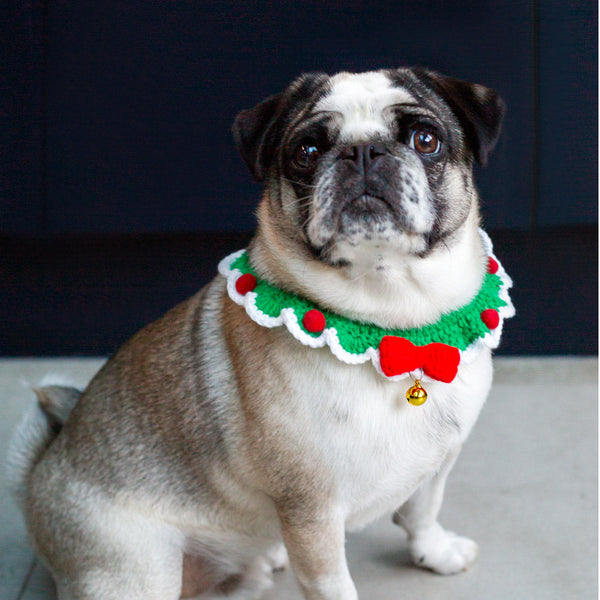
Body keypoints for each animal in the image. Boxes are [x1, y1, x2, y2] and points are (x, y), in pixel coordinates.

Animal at [9, 67, 510, 600]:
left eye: (425, 139)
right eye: (306, 152)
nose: (362, 151)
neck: (393, 326)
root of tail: (43, 470)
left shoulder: (438, 461)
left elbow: (421, 511)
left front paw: (435, 553)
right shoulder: (312, 514)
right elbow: (334, 584)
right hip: (137, 567)